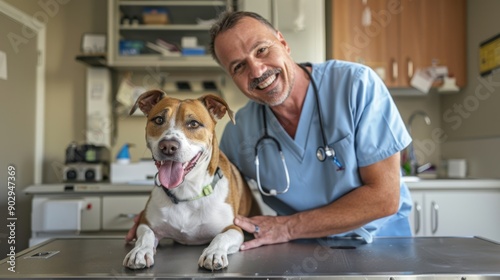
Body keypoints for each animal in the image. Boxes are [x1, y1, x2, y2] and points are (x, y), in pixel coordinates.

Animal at [123, 89, 260, 270]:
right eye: (159, 120)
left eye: (193, 124)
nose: (168, 146)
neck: (187, 191)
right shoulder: (146, 223)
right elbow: (146, 235)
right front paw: (139, 251)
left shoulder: (234, 228)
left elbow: (221, 237)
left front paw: (213, 253)